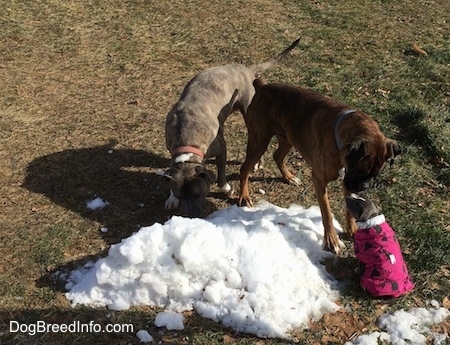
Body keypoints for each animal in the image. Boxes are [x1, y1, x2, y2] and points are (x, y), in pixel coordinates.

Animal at [164, 39, 298, 216]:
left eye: (200, 194)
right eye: (181, 196)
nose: (193, 217)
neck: (187, 140)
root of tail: (247, 69)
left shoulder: (221, 149)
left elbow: (221, 176)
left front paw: (227, 188)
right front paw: (171, 198)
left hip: (251, 114)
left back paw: (257, 163)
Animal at [239, 79, 400, 254]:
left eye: (375, 175)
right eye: (359, 171)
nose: (364, 187)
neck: (338, 136)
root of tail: (263, 86)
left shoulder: (347, 182)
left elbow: (349, 209)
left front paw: (353, 229)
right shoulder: (320, 181)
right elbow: (327, 213)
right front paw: (331, 240)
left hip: (287, 138)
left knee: (277, 156)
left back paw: (289, 177)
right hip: (259, 141)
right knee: (244, 169)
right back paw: (244, 196)